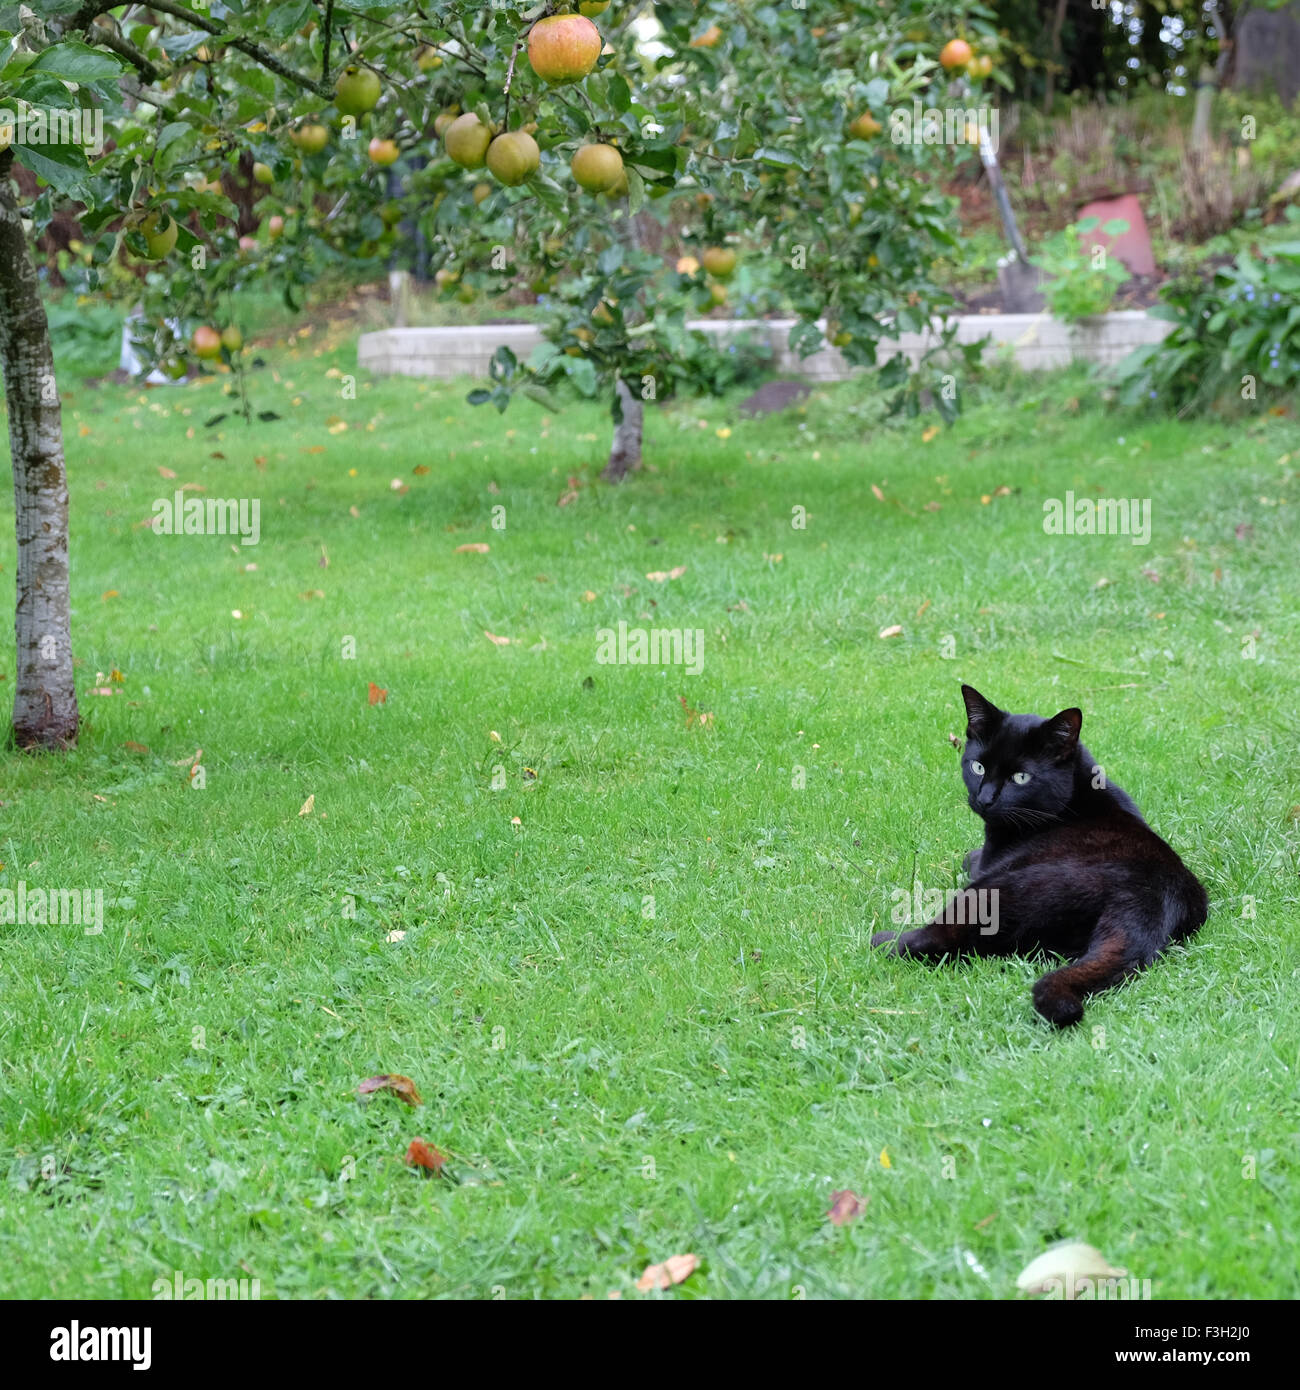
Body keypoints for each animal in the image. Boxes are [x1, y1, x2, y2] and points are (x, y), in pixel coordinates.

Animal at [873, 686, 1212, 1028]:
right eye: (977, 767)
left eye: (1021, 778)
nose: (985, 799)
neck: (1073, 800)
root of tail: (1149, 901)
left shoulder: (986, 866)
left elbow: (971, 858)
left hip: (990, 892)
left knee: (937, 941)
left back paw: (885, 939)